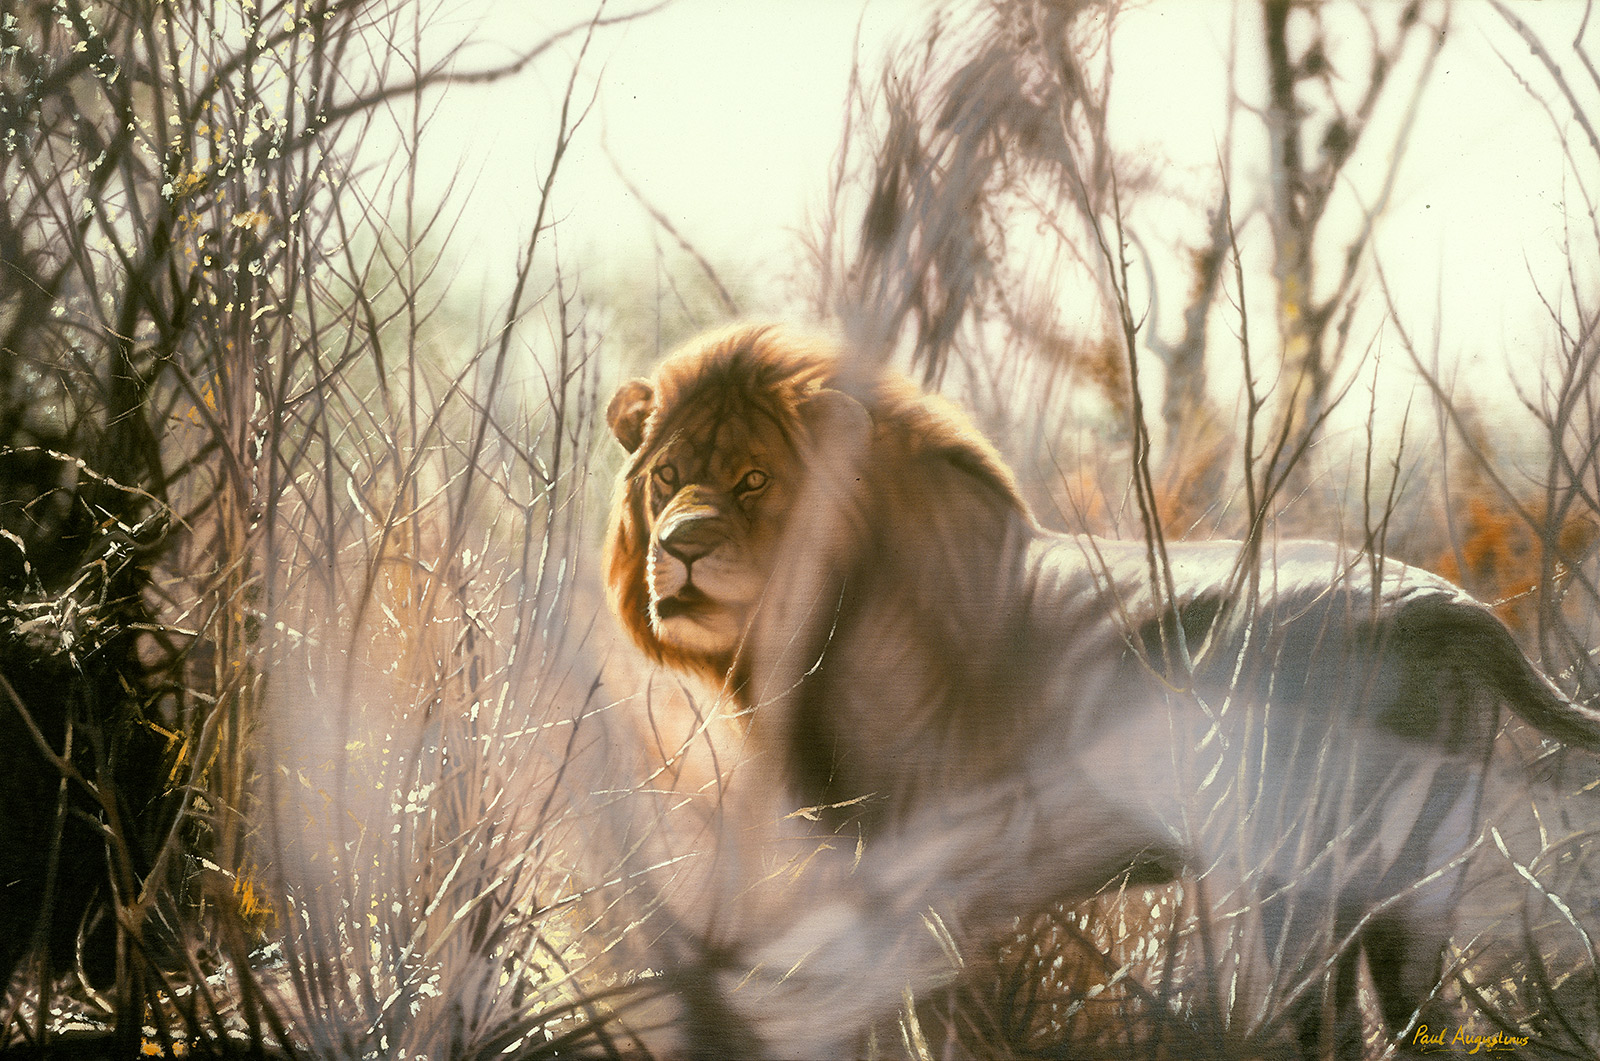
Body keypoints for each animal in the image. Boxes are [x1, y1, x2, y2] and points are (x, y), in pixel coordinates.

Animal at [604, 324, 1600, 1060]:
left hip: (1296, 874)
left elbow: (914, 1015)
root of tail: (1447, 603)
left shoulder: (910, 863)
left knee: (1319, 1026)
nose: (683, 544)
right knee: (1418, 1020)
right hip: (1415, 879)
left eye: (754, 478)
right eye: (667, 476)